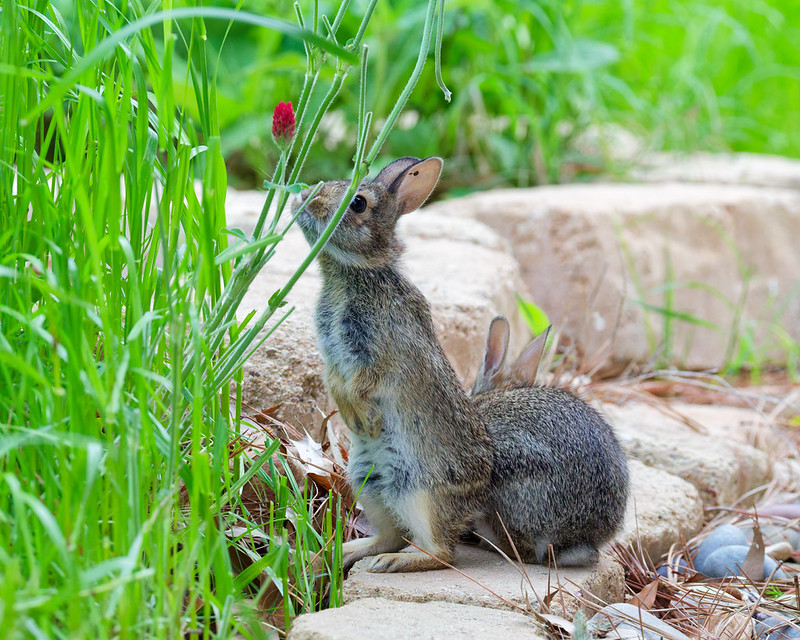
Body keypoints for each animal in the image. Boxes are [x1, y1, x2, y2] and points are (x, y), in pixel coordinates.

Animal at [293, 156, 494, 573]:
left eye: (358, 203)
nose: (307, 197)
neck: (355, 273)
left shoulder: (379, 353)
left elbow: (362, 382)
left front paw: (363, 418)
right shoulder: (332, 356)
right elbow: (334, 381)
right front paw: (357, 419)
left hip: (420, 494)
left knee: (441, 553)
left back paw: (390, 563)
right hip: (368, 483)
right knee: (392, 534)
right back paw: (342, 553)